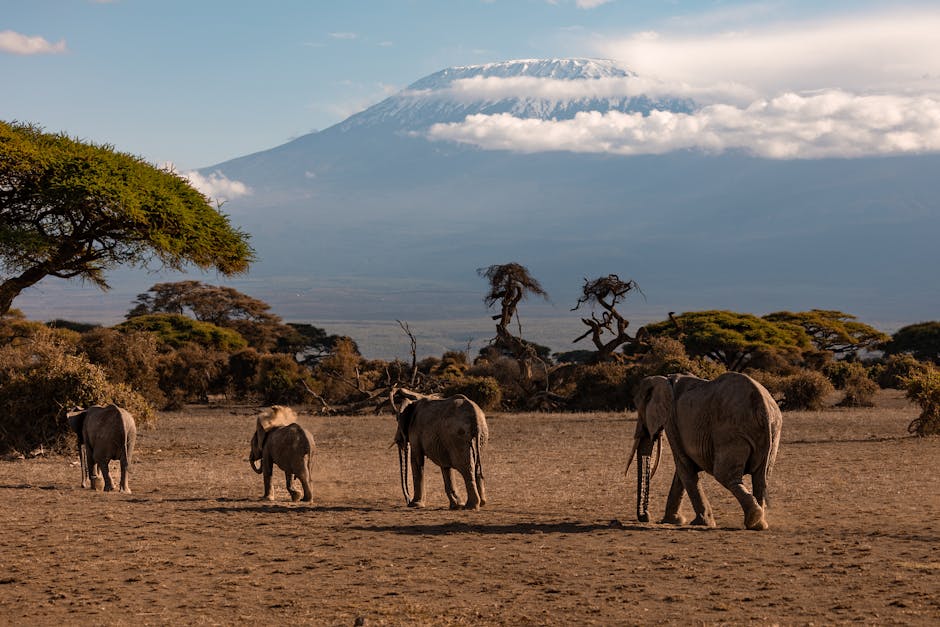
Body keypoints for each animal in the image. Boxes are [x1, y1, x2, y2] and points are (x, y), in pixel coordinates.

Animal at [627, 372, 782, 530]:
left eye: (640, 411)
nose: (646, 516)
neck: (664, 379)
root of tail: (762, 405)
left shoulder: (671, 420)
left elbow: (683, 465)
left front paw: (701, 523)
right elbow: (682, 470)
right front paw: (673, 521)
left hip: (731, 432)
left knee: (725, 475)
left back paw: (753, 518)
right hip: (772, 431)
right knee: (761, 478)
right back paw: (759, 524)